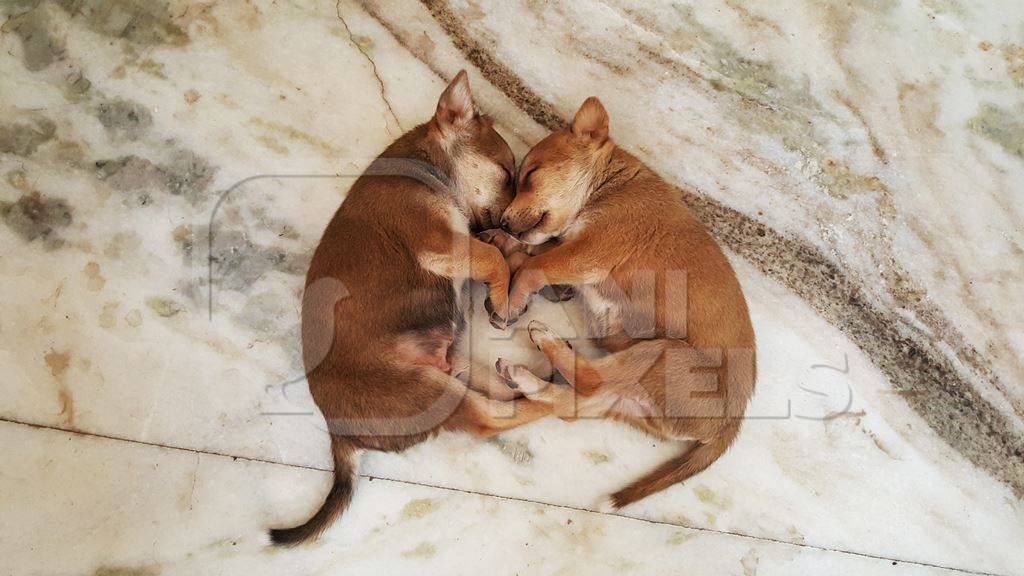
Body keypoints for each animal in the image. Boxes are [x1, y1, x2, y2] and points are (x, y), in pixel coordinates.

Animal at [266, 71, 552, 541]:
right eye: (506, 174)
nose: (509, 225)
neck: (428, 169)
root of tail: (339, 436)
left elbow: (493, 253)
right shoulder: (439, 243)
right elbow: (491, 257)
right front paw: (502, 294)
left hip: (451, 367)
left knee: (497, 392)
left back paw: (536, 376)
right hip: (432, 391)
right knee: (496, 417)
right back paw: (562, 395)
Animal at [491, 97, 757, 506]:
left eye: (531, 176)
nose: (503, 222)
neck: (607, 187)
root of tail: (731, 425)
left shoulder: (587, 254)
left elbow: (534, 266)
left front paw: (512, 300)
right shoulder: (570, 249)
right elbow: (535, 250)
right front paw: (503, 243)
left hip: (662, 353)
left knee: (589, 379)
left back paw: (545, 339)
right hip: (627, 397)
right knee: (575, 403)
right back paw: (524, 376)